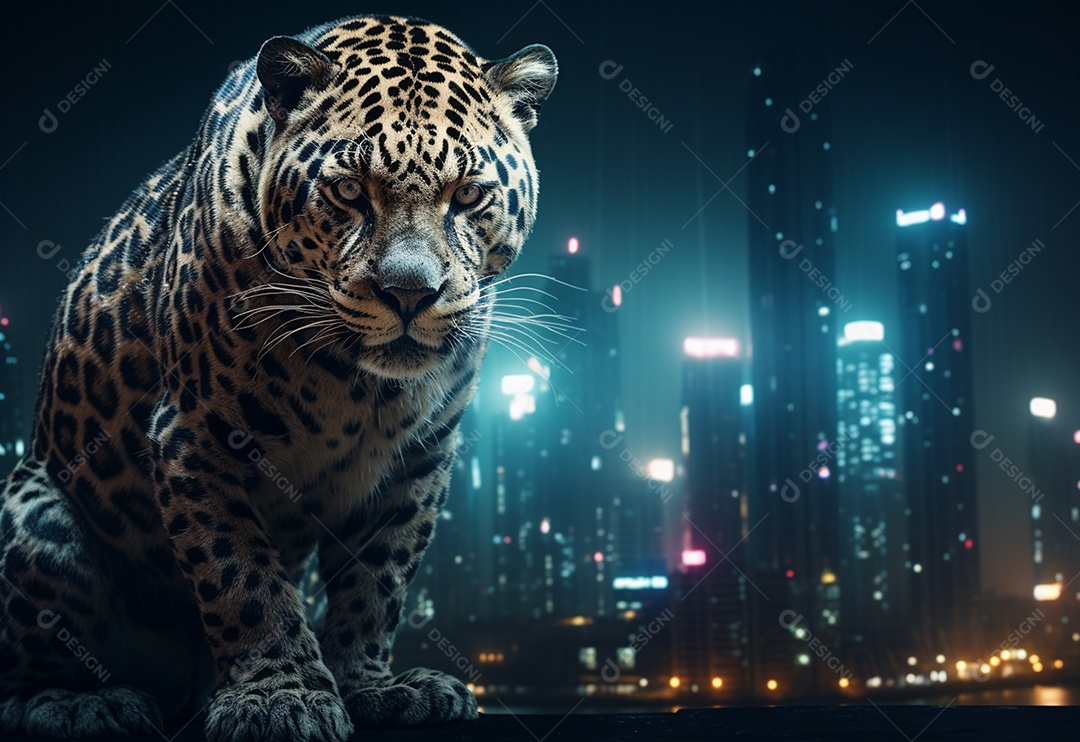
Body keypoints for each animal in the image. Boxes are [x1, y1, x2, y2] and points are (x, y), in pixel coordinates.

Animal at [0, 14, 556, 741]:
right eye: (349, 191)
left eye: (467, 195)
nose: (409, 293)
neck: (362, 385)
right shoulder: (195, 434)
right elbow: (242, 577)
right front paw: (279, 695)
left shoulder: (420, 459)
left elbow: (378, 581)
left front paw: (369, 684)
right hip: (40, 530)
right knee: (28, 669)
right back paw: (81, 703)